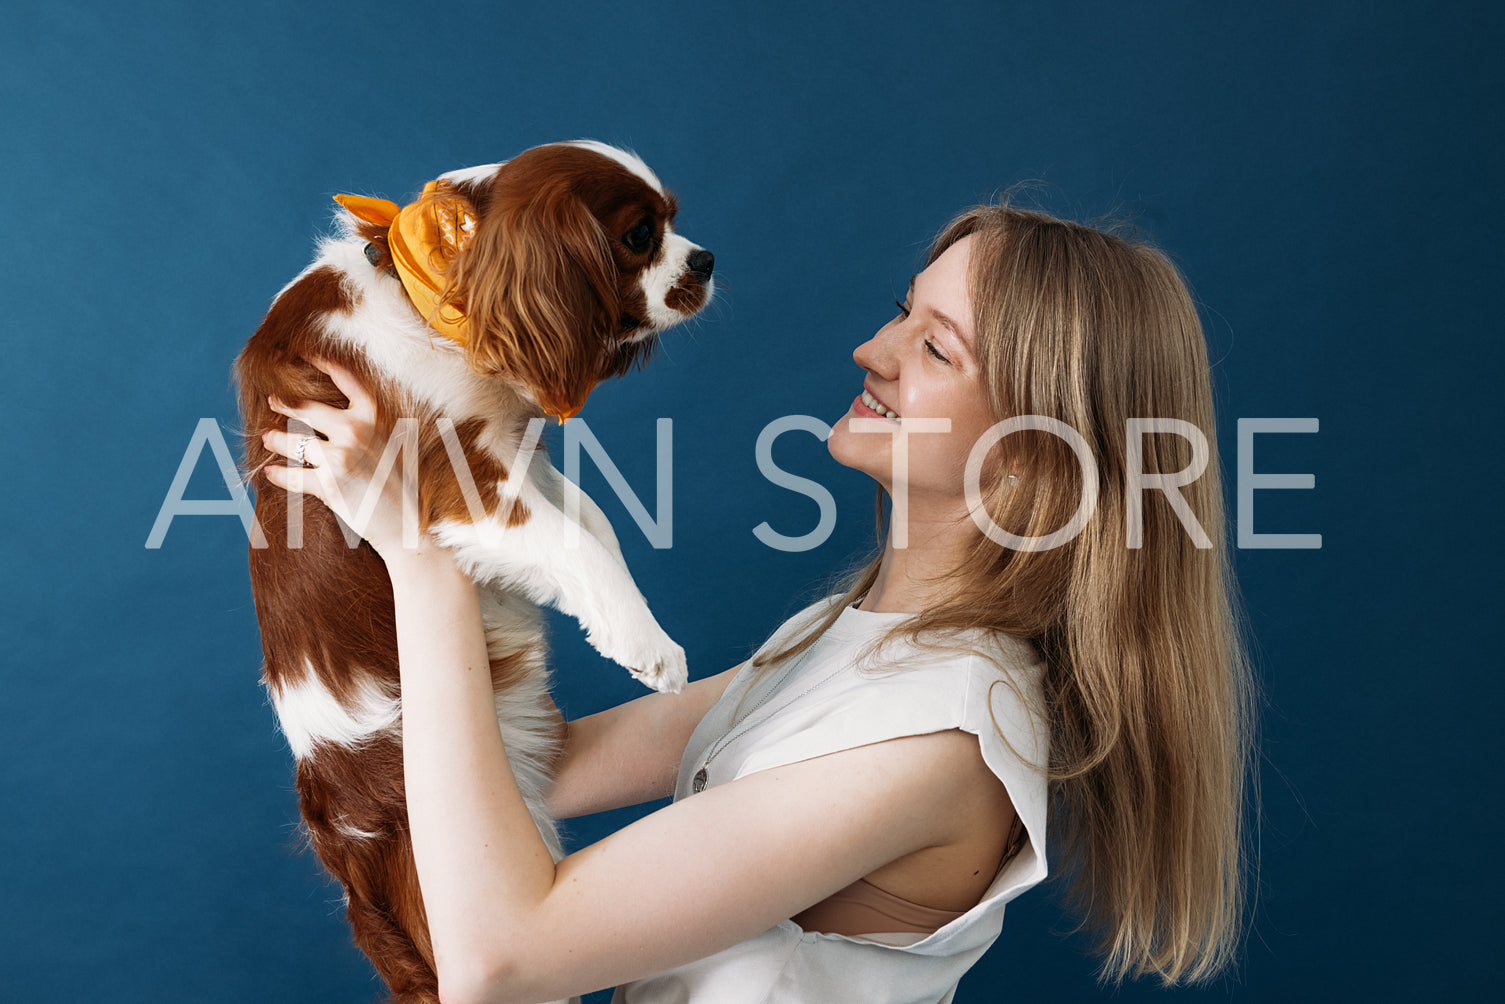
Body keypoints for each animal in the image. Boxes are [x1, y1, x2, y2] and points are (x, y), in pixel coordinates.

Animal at [233, 139, 710, 999]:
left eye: (675, 223)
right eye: (638, 237)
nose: (708, 260)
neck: (430, 297)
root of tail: (347, 860)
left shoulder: (515, 454)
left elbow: (597, 529)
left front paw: (629, 622)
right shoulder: (457, 483)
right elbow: (579, 545)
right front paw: (646, 646)